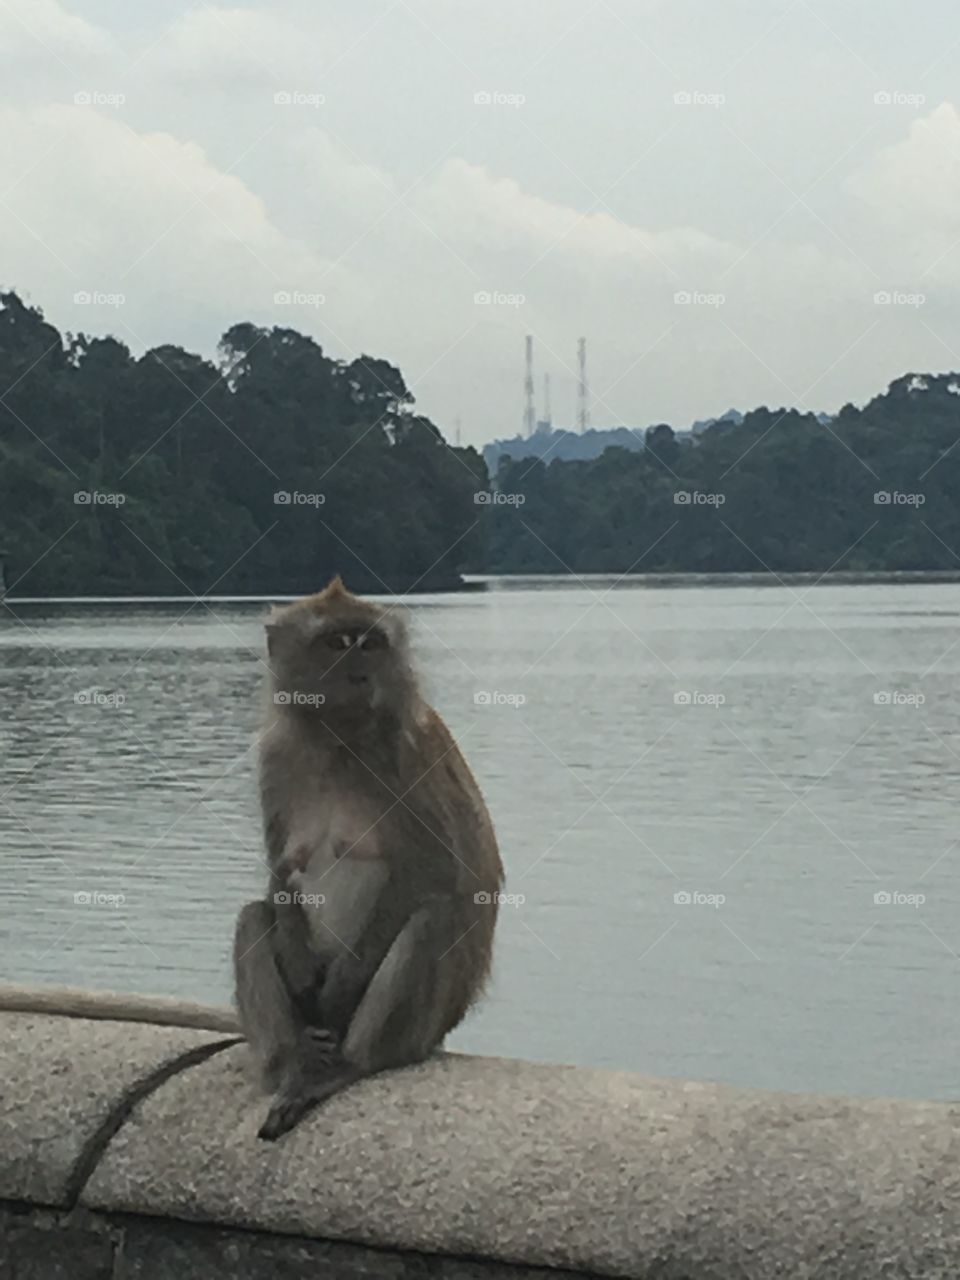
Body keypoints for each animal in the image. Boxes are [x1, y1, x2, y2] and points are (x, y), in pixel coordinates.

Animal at [233, 576, 504, 1140]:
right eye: (338, 642)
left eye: (371, 643)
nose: (362, 673)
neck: (336, 740)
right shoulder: (276, 757)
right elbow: (281, 871)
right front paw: (299, 969)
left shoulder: (408, 758)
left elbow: (435, 872)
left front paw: (339, 991)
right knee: (252, 916)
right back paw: (293, 1062)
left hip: (427, 1025)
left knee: (433, 919)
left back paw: (350, 1065)